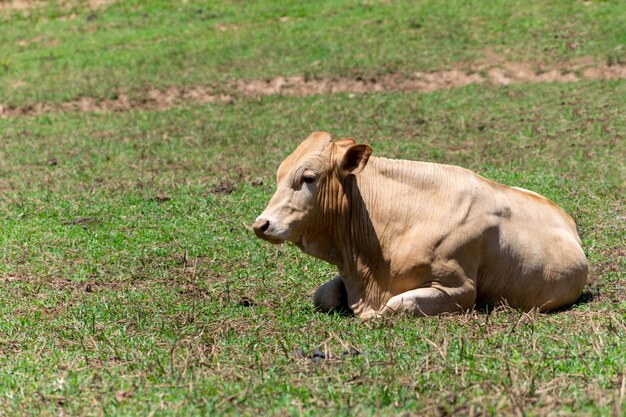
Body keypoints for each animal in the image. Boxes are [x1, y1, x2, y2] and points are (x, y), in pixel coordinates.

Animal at [249, 132, 584, 316]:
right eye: (279, 174)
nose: (261, 224)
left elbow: (393, 307)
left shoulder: (460, 290)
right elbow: (324, 295)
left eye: (308, 177)